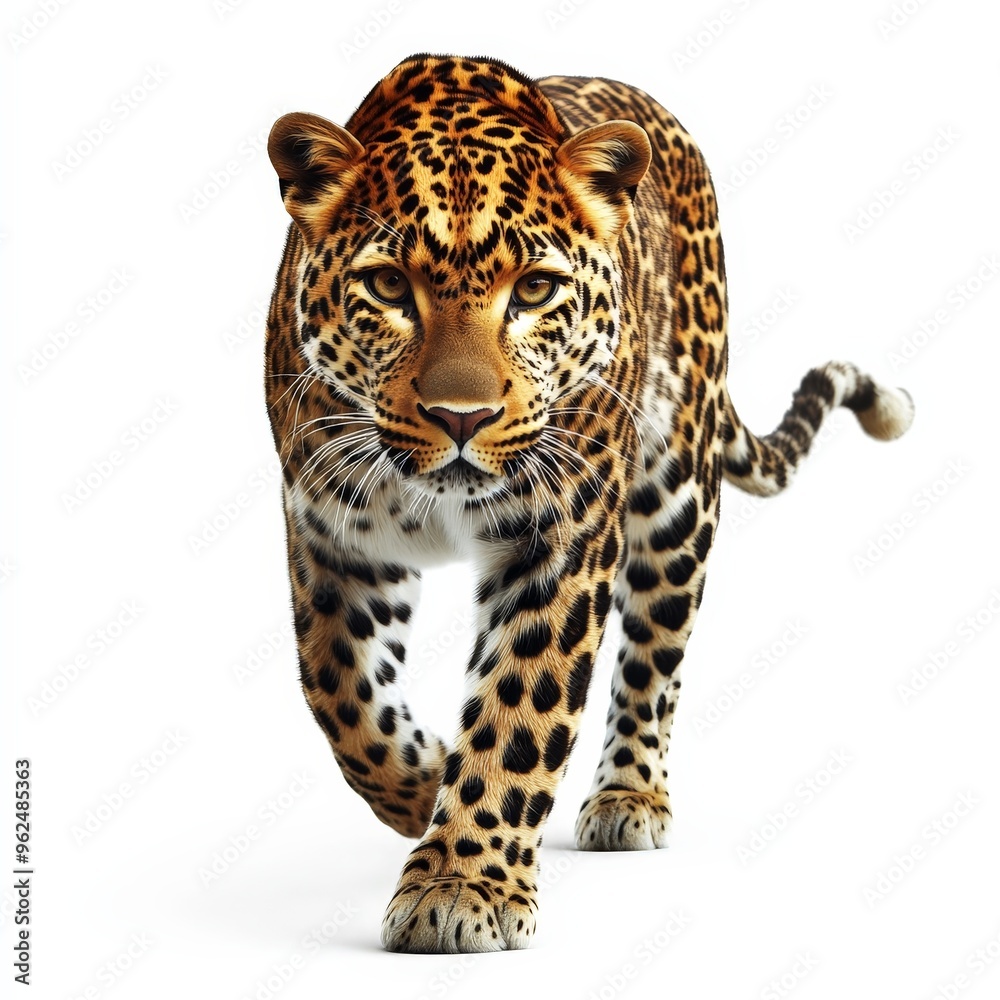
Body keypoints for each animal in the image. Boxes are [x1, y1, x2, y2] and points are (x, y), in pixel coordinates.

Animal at [263, 53, 913, 953]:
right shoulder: (332, 536)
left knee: (656, 655)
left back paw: (628, 797)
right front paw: (422, 784)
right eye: (389, 286)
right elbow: (341, 693)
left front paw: (460, 885)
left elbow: (519, 708)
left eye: (535, 290)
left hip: (677, 490)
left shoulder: (560, 533)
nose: (461, 417)